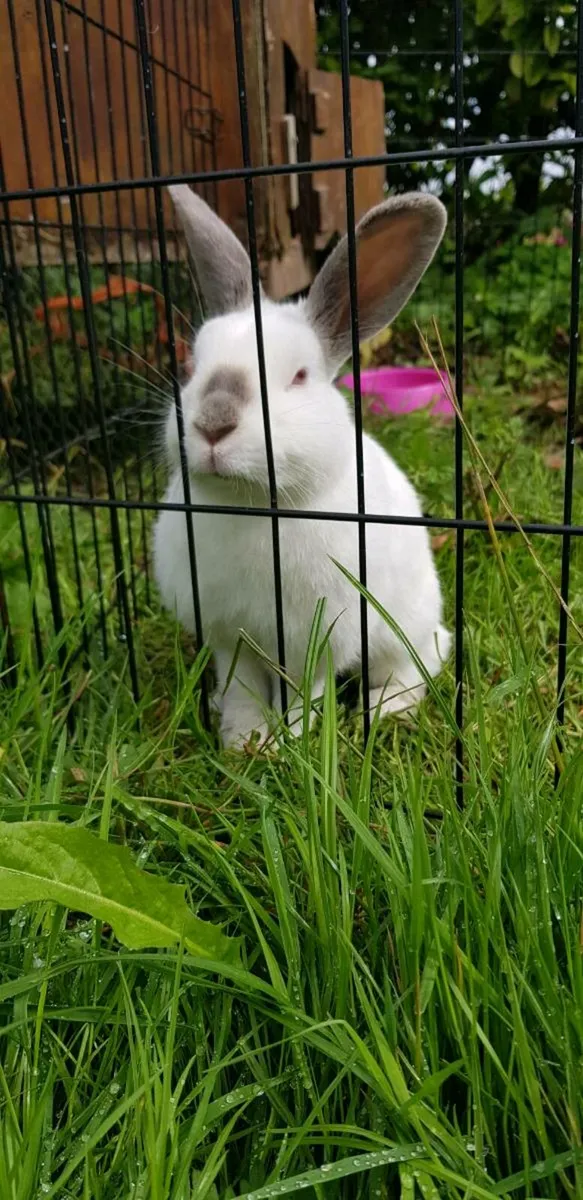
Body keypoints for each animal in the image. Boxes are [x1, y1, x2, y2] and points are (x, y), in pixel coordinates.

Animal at [153, 184, 451, 747]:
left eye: (298, 376)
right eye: (192, 367)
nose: (213, 423)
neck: (251, 505)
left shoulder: (314, 636)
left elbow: (303, 690)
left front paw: (291, 740)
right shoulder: (231, 638)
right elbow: (243, 687)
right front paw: (243, 740)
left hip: (404, 628)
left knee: (414, 668)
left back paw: (382, 711)